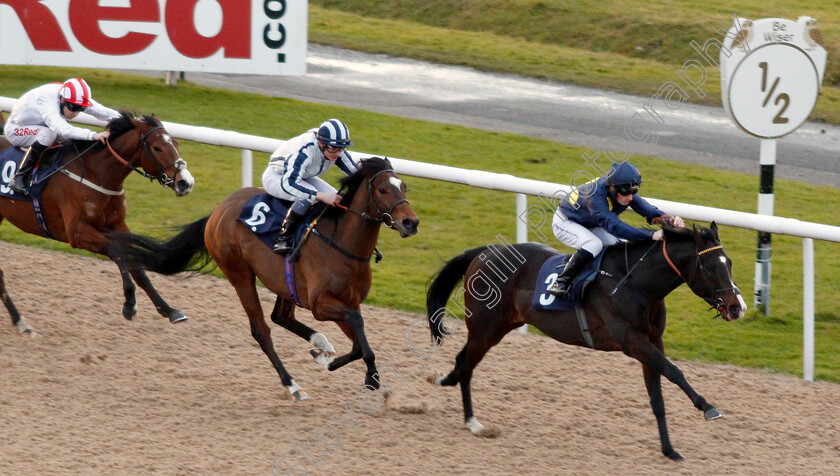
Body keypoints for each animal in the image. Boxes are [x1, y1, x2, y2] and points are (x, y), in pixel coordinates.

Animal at [0, 110, 195, 334]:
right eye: (157, 147)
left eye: (176, 143)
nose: (186, 183)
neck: (97, 174)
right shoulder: (77, 233)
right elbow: (116, 251)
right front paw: (129, 304)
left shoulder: (118, 226)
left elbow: (137, 268)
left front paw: (169, 310)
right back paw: (20, 321)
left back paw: (20, 321)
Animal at [107, 158, 420, 400]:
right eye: (382, 189)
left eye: (404, 187)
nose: (411, 222)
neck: (343, 245)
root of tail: (217, 211)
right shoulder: (321, 305)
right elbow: (359, 332)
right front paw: (364, 375)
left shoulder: (348, 302)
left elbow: (359, 343)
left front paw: (329, 360)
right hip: (240, 275)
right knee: (262, 331)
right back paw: (293, 386)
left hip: (284, 282)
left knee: (281, 316)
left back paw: (321, 344)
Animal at [426, 223, 748, 462]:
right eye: (709, 267)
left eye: (729, 263)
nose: (737, 307)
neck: (637, 284)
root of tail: (486, 252)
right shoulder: (632, 341)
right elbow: (675, 372)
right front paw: (708, 407)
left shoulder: (653, 342)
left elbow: (657, 397)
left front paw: (669, 450)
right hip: (485, 328)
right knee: (466, 365)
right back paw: (470, 419)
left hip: (498, 327)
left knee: (462, 362)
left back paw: (448, 385)